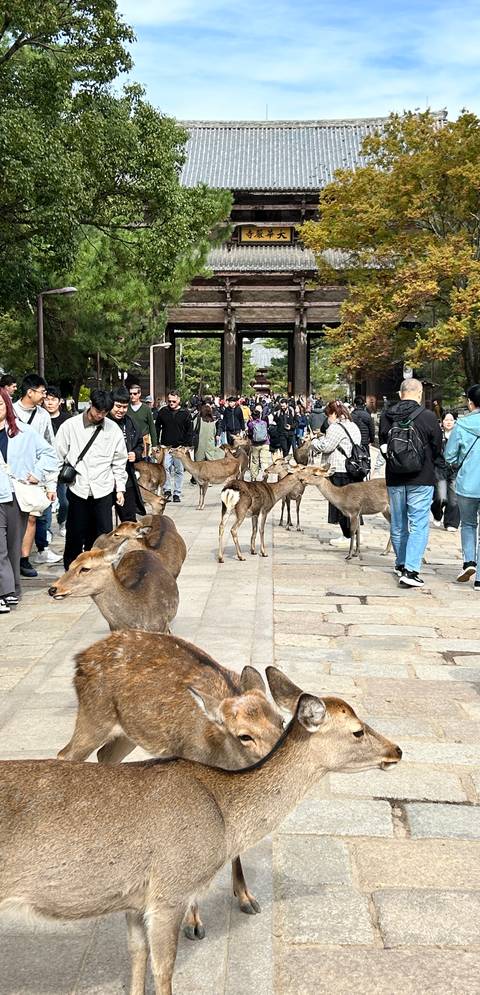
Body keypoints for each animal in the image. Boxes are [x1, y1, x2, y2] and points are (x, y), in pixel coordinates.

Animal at [0, 668, 401, 995]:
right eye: (358, 730)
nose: (397, 750)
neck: (224, 821)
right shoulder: (170, 889)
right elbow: (163, 970)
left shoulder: (133, 899)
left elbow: (136, 956)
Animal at [57, 629, 285, 941]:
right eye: (244, 735)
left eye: (281, 720)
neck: (220, 755)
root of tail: (80, 658)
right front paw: (193, 923)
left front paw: (246, 898)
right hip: (94, 716)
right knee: (65, 754)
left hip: (127, 730)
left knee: (105, 755)